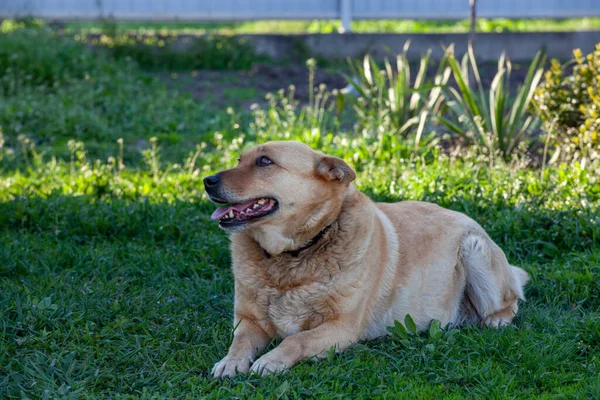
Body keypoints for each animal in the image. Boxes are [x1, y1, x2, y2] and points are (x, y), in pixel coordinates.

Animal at [204, 141, 528, 378]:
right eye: (239, 159)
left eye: (264, 161)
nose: (207, 180)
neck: (294, 254)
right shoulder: (248, 320)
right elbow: (240, 341)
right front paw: (230, 362)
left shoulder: (342, 328)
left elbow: (295, 339)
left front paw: (272, 360)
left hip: (474, 249)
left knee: (510, 302)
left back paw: (495, 320)